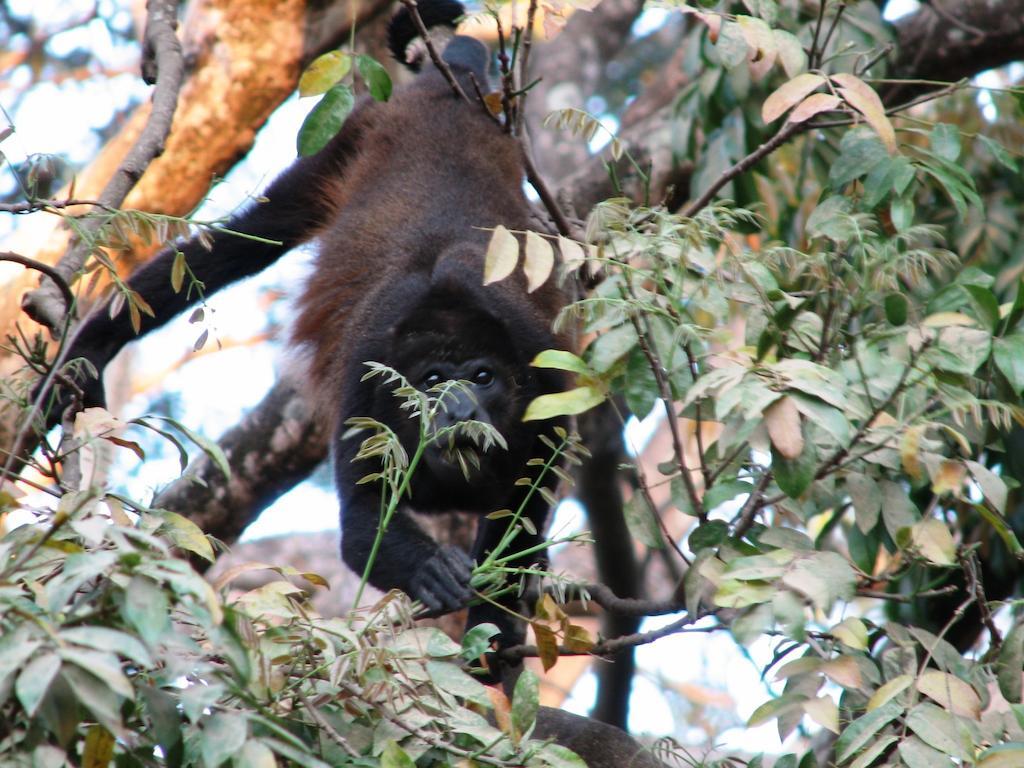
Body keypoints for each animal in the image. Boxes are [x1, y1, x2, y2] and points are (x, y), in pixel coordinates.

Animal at [41, 0, 569, 663]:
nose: (458, 408)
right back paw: (94, 344)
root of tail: (445, 96)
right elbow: (361, 527)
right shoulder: (368, 378)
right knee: (249, 237)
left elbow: (517, 529)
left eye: (482, 377)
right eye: (431, 380)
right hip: (353, 134)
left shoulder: (544, 380)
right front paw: (433, 575)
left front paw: (492, 651)